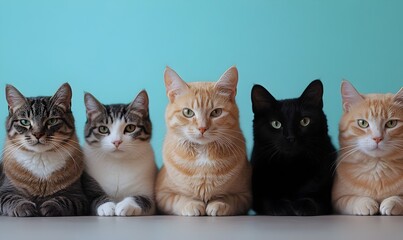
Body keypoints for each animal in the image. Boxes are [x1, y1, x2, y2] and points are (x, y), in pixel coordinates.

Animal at [0, 83, 88, 217]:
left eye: (52, 120)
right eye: (24, 122)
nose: (38, 134)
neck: (40, 158)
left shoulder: (77, 196)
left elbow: (64, 200)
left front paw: (50, 206)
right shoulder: (5, 190)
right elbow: (12, 198)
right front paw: (25, 207)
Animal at [155, 66, 252, 217]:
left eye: (216, 112)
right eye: (188, 112)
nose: (202, 128)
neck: (203, 152)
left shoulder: (245, 195)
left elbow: (230, 199)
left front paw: (219, 204)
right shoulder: (163, 194)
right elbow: (179, 198)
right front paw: (192, 204)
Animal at [252, 79, 338, 216]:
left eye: (305, 121)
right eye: (276, 124)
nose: (291, 137)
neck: (292, 167)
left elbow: (316, 197)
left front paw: (304, 205)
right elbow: (267, 200)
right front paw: (281, 206)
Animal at [332, 80, 403, 216]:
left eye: (391, 123)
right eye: (363, 123)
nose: (377, 138)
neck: (376, 166)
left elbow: (399, 198)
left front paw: (392, 202)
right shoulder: (336, 200)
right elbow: (349, 199)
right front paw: (364, 203)